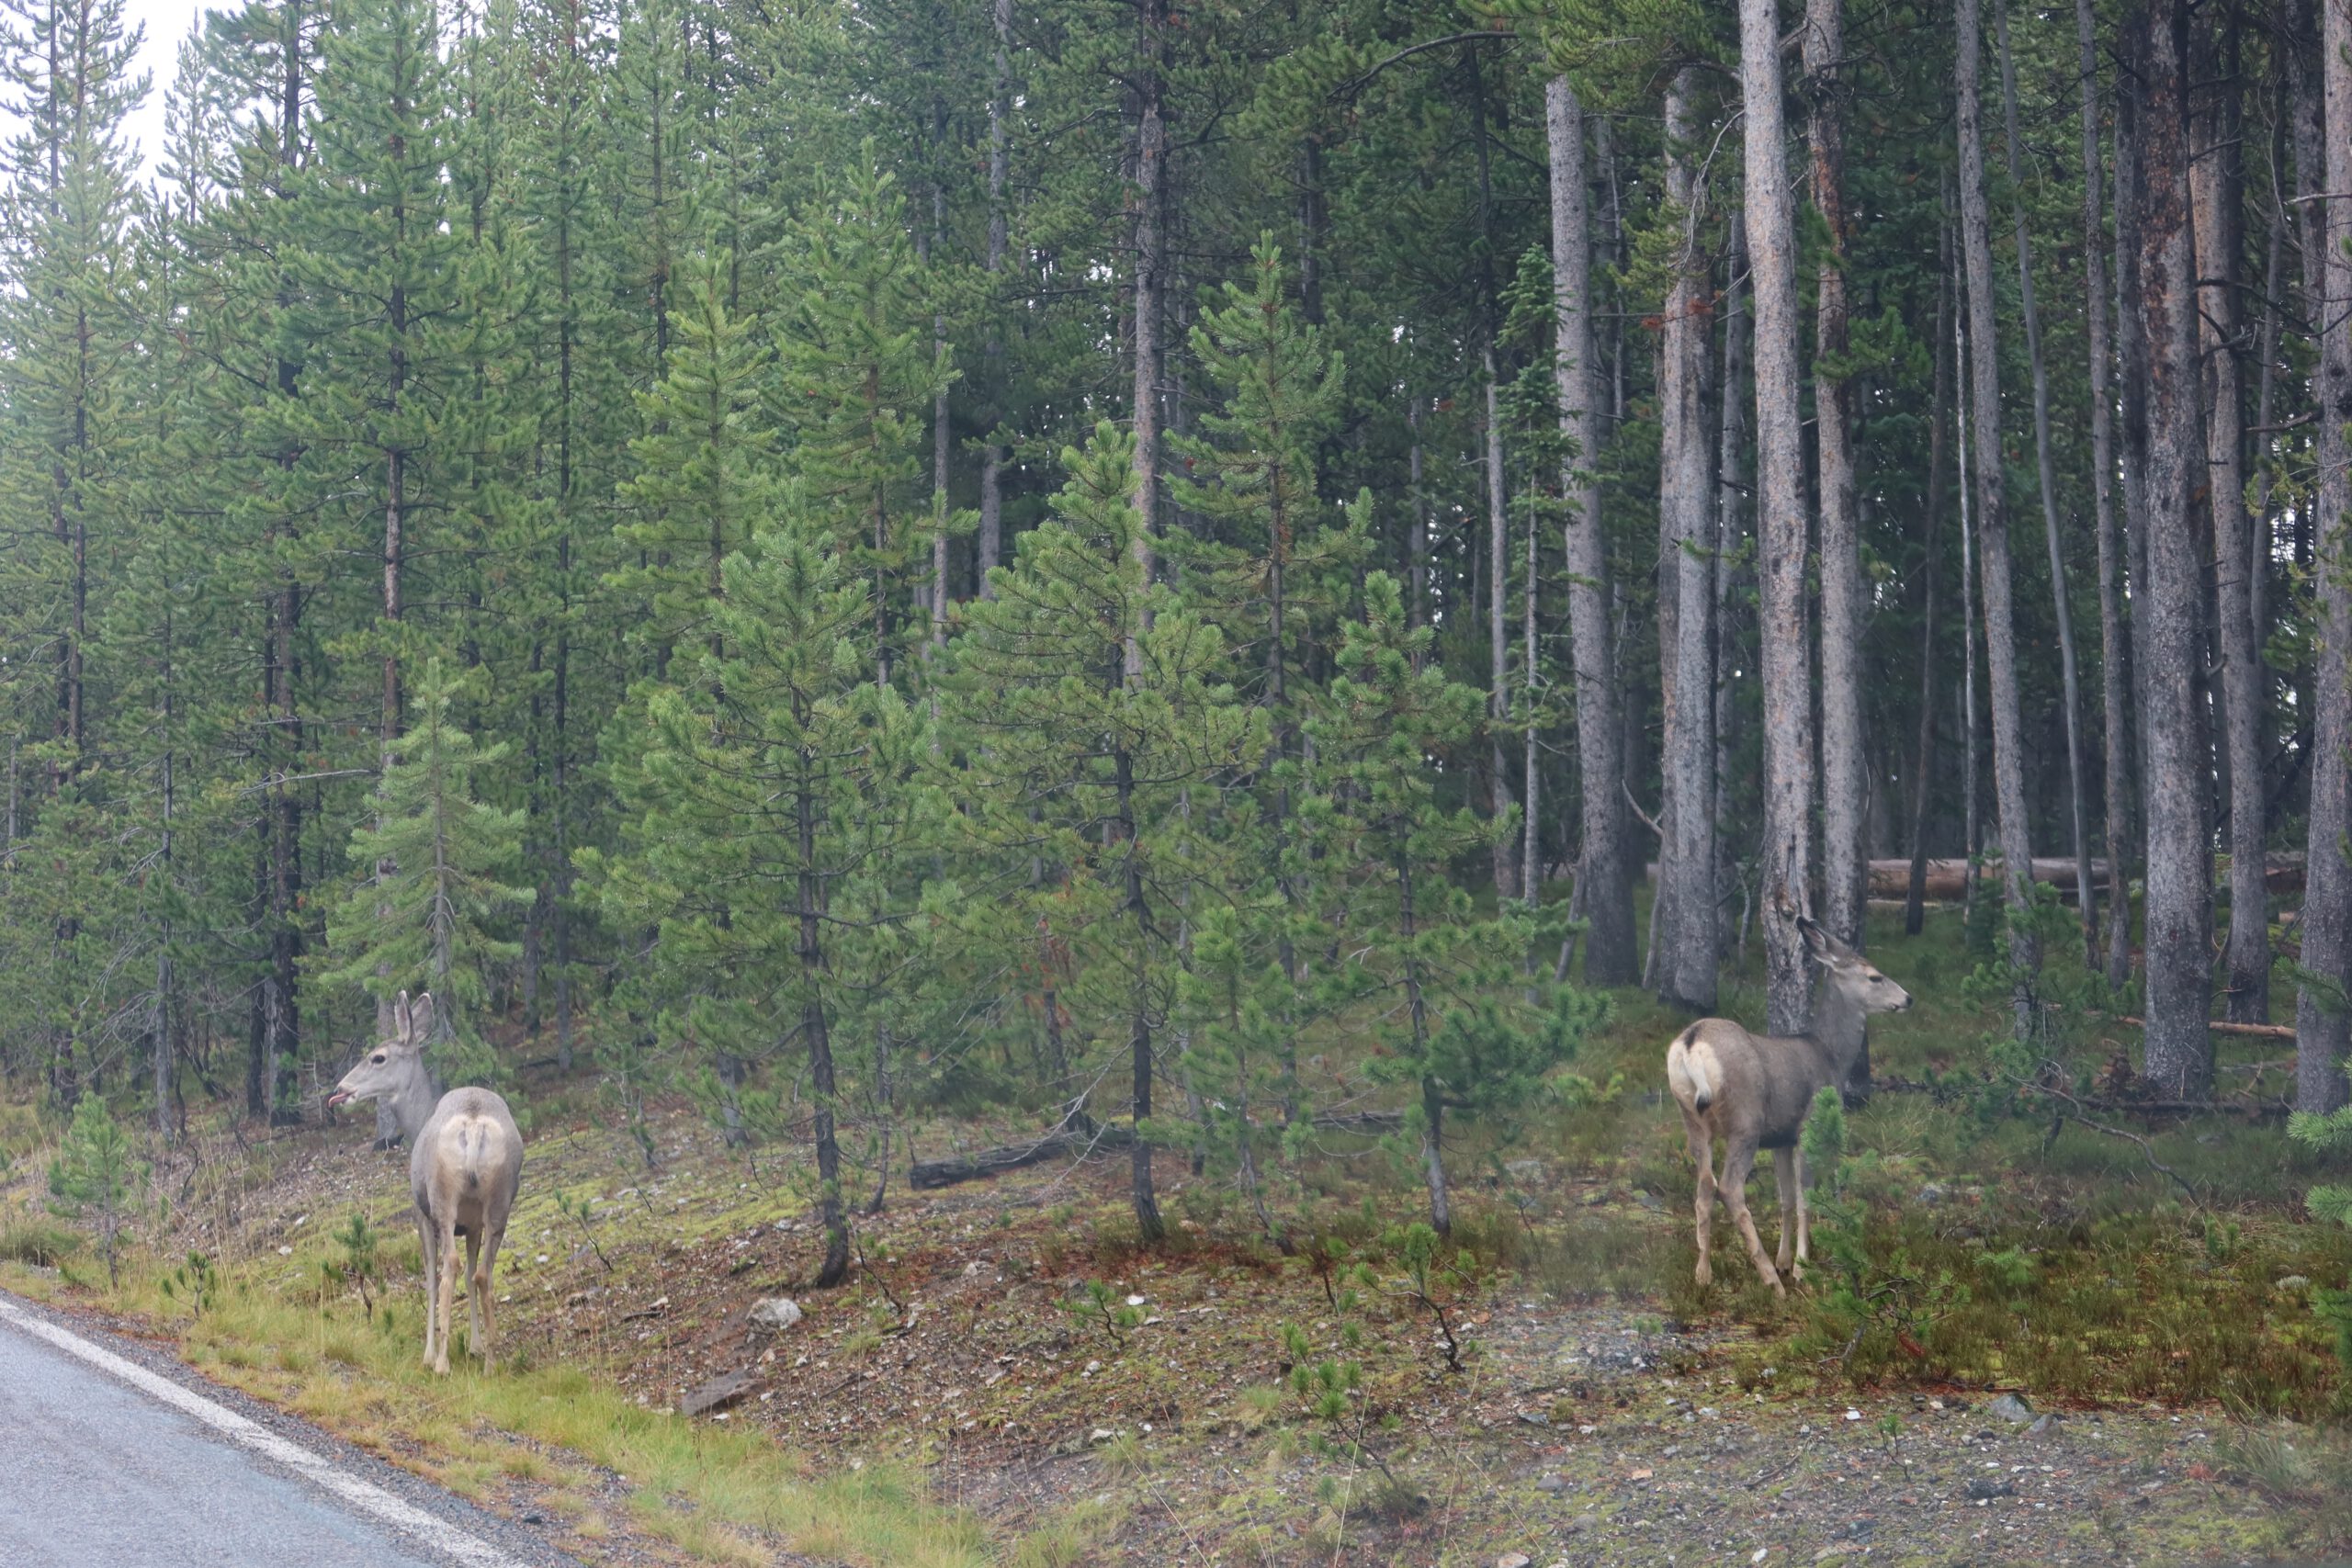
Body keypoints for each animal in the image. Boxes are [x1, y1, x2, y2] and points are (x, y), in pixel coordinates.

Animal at [326, 992, 525, 1375]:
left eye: (378, 1057)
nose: (341, 1089)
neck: (418, 1120)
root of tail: (474, 1124)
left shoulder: (420, 1213)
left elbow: (431, 1278)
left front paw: (430, 1353)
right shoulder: (472, 1223)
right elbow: (471, 1272)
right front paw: (475, 1346)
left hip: (441, 1196)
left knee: (449, 1266)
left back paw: (442, 1363)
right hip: (500, 1200)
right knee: (482, 1274)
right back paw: (491, 1363)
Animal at [1664, 916, 1912, 1297]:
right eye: (1874, 977)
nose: (1907, 998)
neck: (1829, 1055)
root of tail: (1691, 1043)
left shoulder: (1780, 1137)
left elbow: (1786, 1199)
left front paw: (1784, 1260)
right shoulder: (1808, 1126)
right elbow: (1806, 1195)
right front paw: (1799, 1268)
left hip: (1691, 1117)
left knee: (1704, 1186)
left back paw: (1703, 1274)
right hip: (1745, 1121)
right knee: (1730, 1188)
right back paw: (1770, 1280)